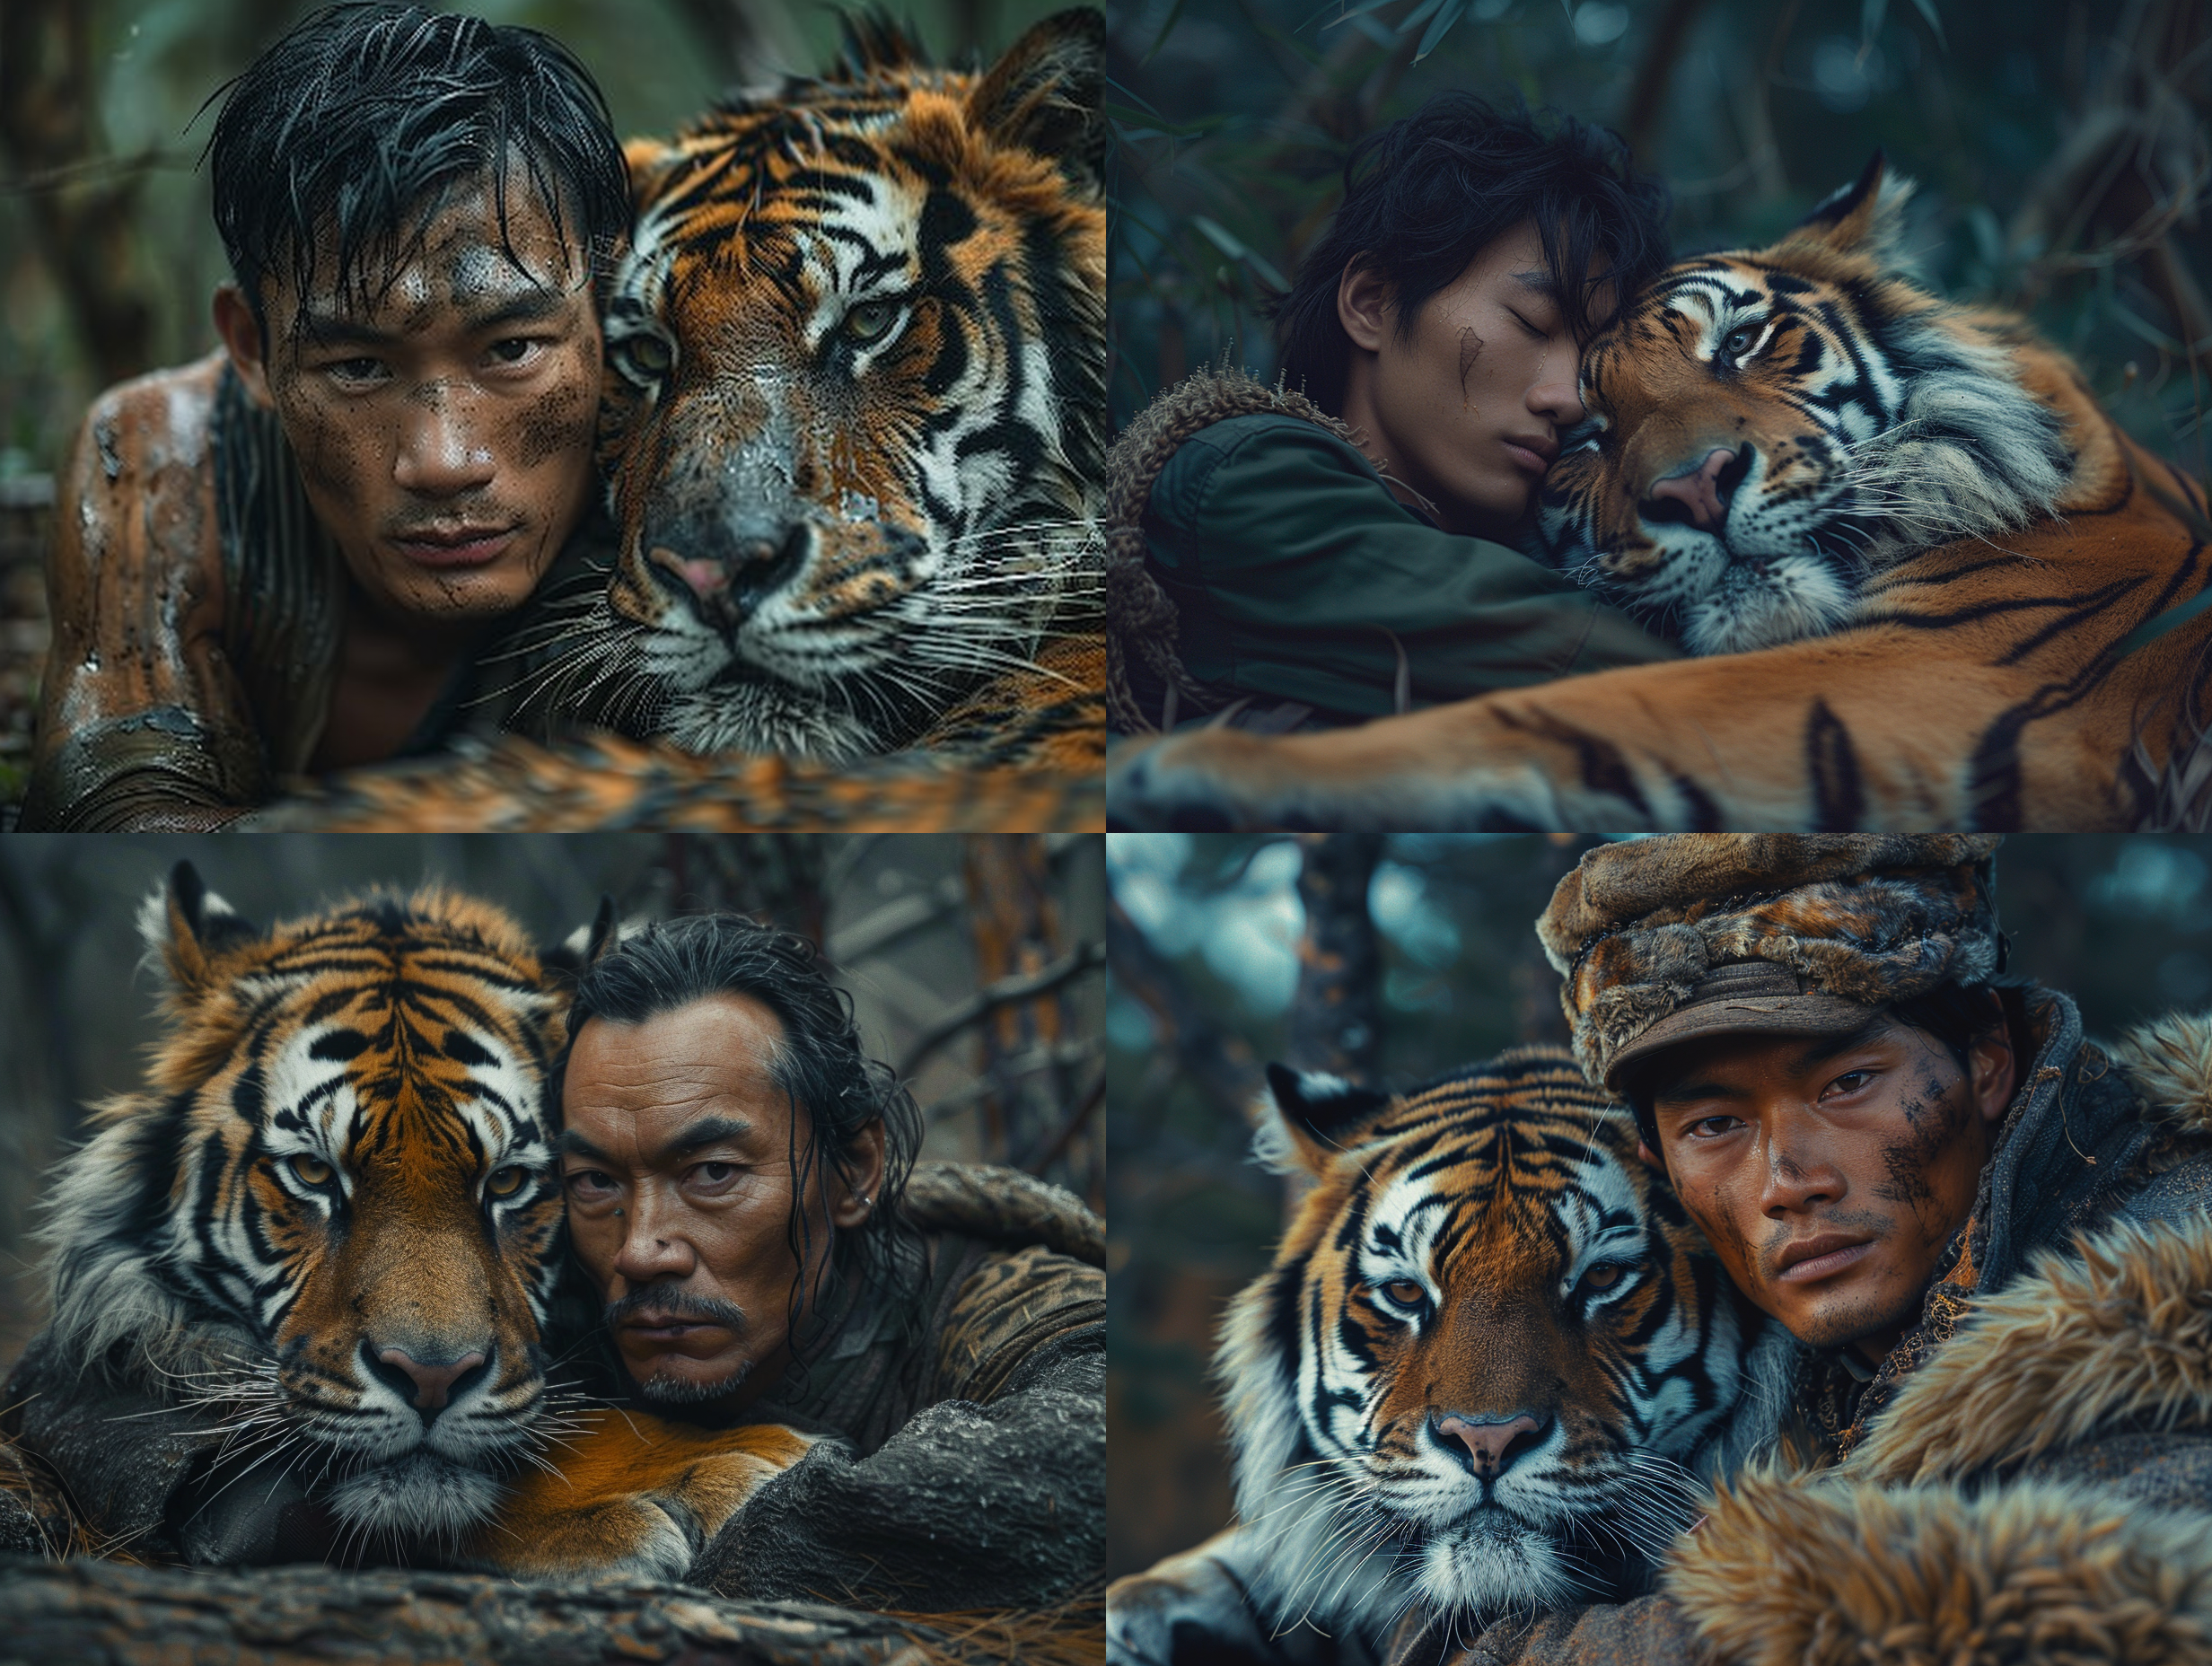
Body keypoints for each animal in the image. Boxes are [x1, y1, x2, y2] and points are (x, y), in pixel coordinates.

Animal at [1105, 155, 2212, 832]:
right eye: (1583, 434)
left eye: (1742, 343)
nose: (1696, 490)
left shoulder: (1946, 672)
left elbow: (1563, 712)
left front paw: (1205, 772)